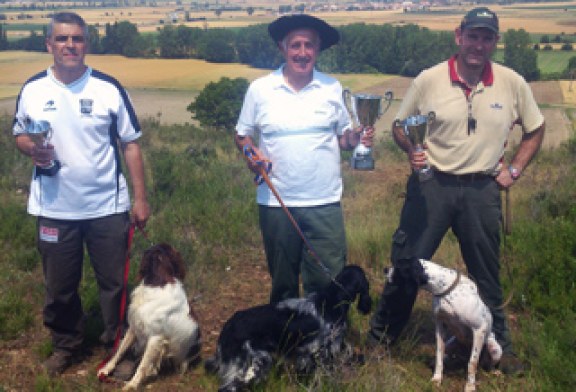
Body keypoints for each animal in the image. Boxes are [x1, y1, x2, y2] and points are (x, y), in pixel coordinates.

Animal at [97, 243, 200, 390]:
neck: (158, 281)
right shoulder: (133, 327)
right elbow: (120, 350)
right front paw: (106, 369)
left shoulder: (155, 338)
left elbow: (142, 366)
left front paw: (132, 384)